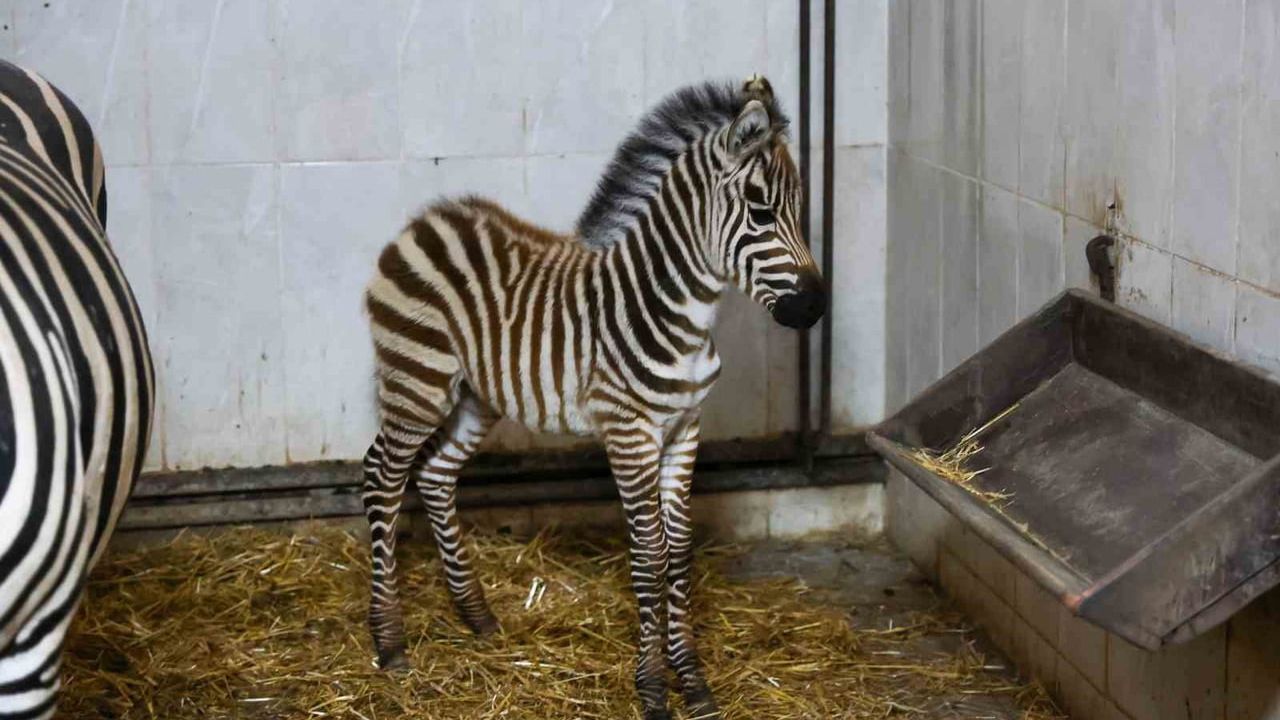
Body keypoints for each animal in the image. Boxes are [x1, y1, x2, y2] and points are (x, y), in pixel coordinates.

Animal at [361, 75, 823, 720]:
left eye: (800, 213)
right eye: (760, 212)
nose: (815, 309)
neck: (679, 312)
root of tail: (427, 219)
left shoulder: (685, 427)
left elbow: (679, 550)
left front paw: (693, 682)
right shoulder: (629, 432)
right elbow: (650, 555)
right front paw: (653, 690)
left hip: (477, 395)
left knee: (434, 474)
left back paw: (476, 616)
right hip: (417, 379)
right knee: (382, 476)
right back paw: (389, 640)